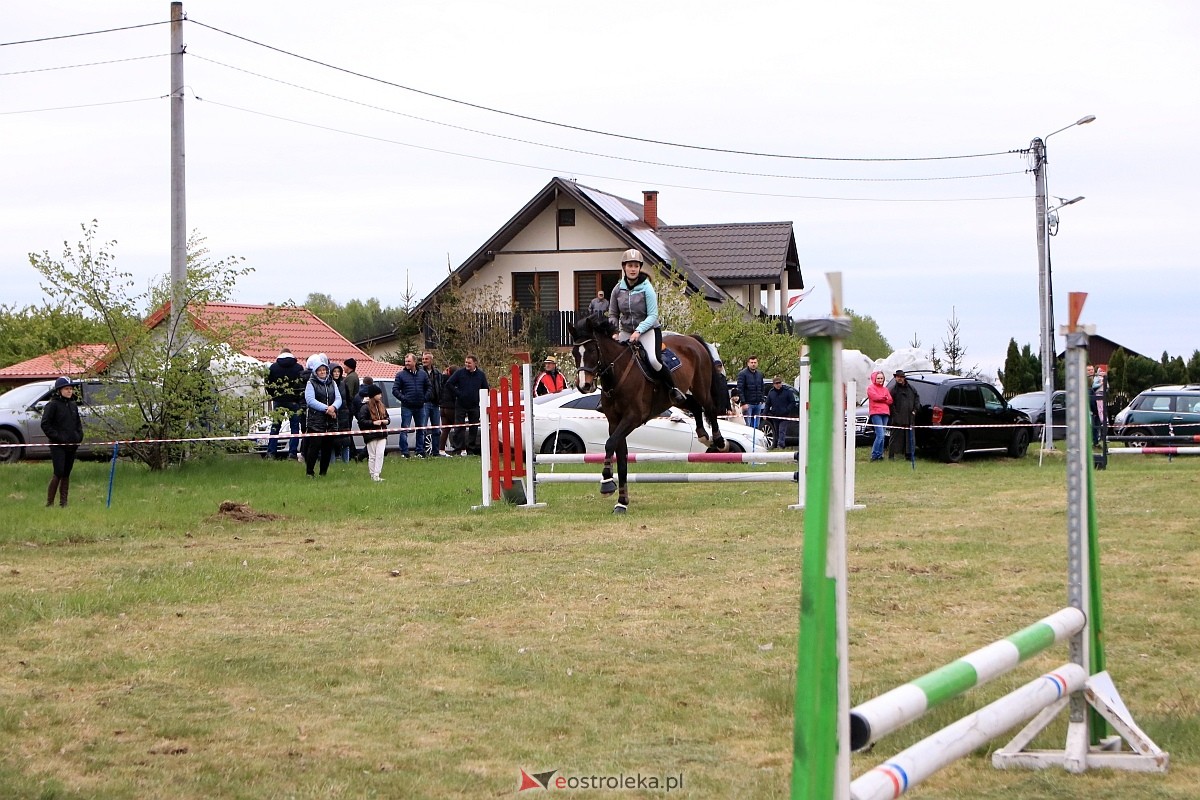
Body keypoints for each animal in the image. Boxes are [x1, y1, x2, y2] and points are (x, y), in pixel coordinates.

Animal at [568, 311, 724, 513]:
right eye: (574, 353)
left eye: (592, 351)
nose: (584, 385)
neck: (617, 376)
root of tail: (691, 339)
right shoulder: (614, 422)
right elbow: (621, 457)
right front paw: (622, 502)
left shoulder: (632, 418)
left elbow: (609, 444)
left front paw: (607, 483)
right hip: (676, 397)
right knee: (695, 407)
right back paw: (703, 435)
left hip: (701, 387)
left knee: (709, 407)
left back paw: (719, 440)